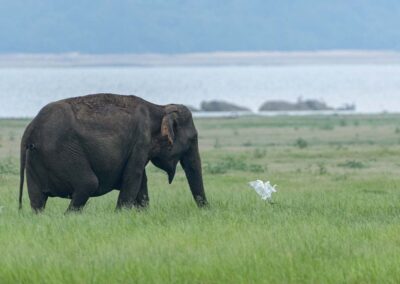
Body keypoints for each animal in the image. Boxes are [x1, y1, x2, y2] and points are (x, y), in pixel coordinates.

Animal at [17, 94, 208, 212]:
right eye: (193, 139)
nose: (206, 211)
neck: (160, 108)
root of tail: (30, 128)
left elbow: (142, 181)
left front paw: (143, 213)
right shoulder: (140, 141)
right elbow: (133, 177)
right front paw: (121, 214)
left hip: (35, 160)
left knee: (37, 200)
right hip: (63, 153)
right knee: (88, 183)